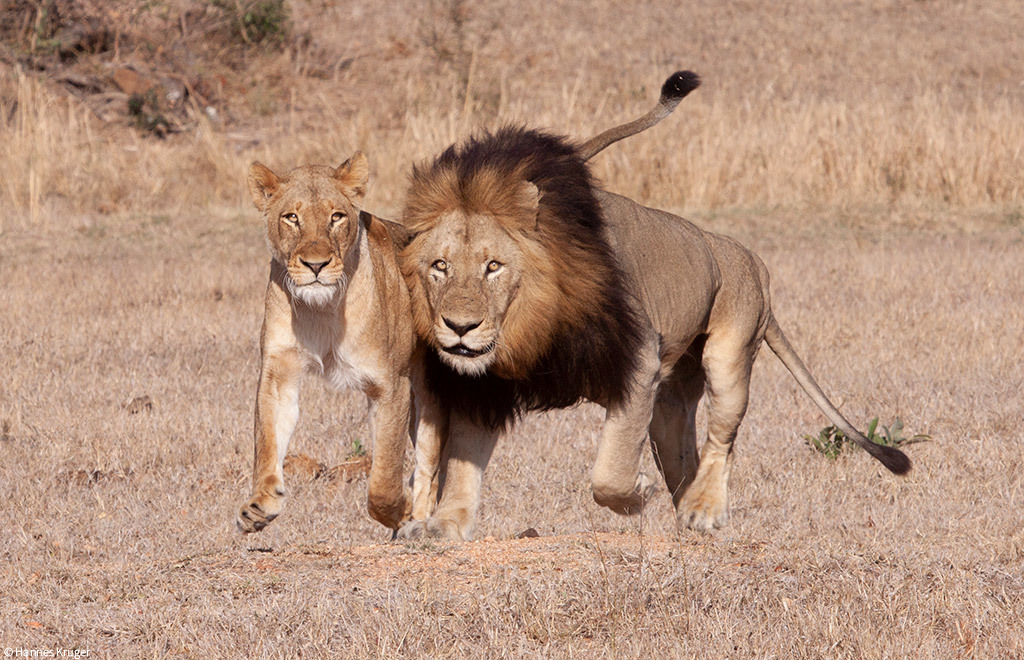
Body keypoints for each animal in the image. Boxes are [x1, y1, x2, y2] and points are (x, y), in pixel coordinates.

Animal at [395, 80, 909, 540]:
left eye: (493, 266)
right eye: (440, 266)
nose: (460, 327)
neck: (533, 324)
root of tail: (751, 260)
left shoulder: (638, 360)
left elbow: (610, 471)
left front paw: (637, 494)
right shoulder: (486, 387)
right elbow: (464, 458)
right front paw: (443, 525)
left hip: (730, 353)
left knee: (723, 438)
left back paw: (705, 511)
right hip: (669, 402)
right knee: (686, 457)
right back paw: (687, 512)